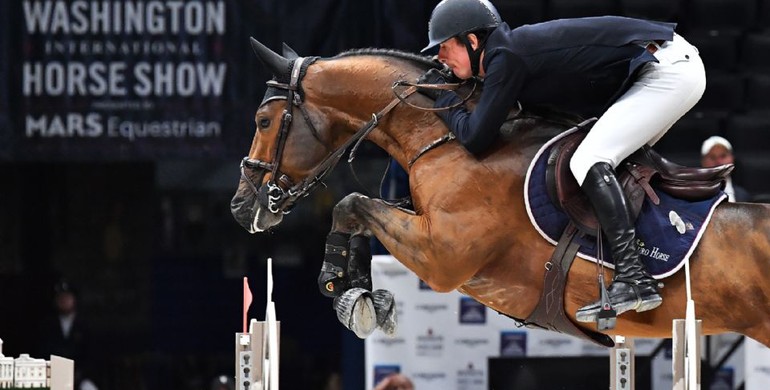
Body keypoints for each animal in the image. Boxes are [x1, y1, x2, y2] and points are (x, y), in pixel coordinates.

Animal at [231, 37, 768, 348]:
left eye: (263, 120)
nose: (241, 207)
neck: (447, 140)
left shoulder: (442, 256)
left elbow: (353, 204)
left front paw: (340, 282)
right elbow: (359, 209)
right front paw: (360, 293)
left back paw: (630, 292)